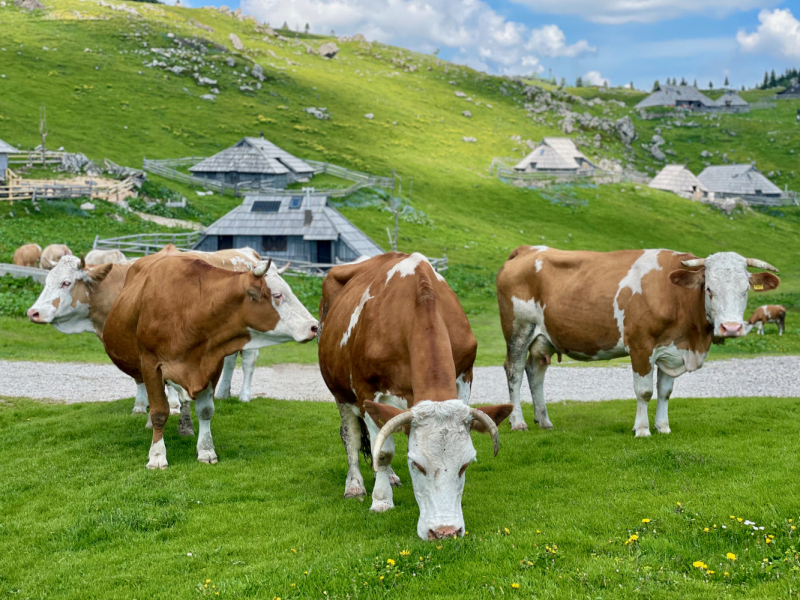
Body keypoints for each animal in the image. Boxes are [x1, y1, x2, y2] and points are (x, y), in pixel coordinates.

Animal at [103, 253, 318, 468]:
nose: (314, 326)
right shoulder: (151, 363)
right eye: (278, 295)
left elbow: (206, 410)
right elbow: (159, 412)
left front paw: (206, 450)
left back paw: (185, 427)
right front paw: (157, 456)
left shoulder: (212, 364)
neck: (190, 310)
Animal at [316, 251, 510, 540]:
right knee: (350, 436)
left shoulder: (465, 380)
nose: (445, 532)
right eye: (416, 465)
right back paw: (354, 485)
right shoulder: (367, 392)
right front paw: (381, 501)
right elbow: (383, 451)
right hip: (340, 391)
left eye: (465, 465)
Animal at [496, 246, 780, 438]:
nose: (730, 328)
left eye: (745, 290)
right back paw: (518, 421)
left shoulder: (670, 350)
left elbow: (665, 392)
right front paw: (642, 429)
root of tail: (528, 249)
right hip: (518, 330)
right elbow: (644, 391)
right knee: (514, 372)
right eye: (709, 289)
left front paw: (663, 427)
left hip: (544, 338)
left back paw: (544, 421)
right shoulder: (641, 346)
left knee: (535, 373)